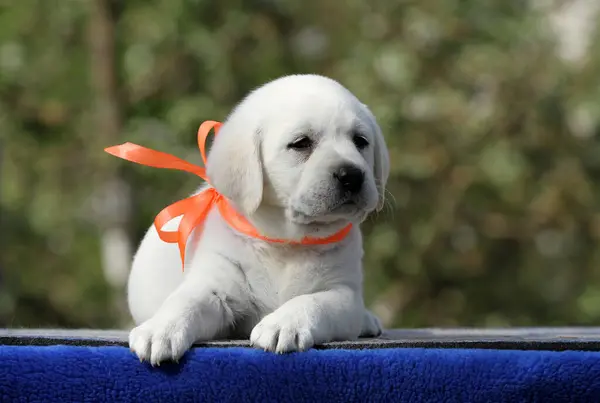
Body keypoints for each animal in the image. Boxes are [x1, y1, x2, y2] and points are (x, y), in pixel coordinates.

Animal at [126, 73, 390, 366]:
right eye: (301, 143)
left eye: (360, 141)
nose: (352, 175)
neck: (287, 242)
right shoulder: (216, 284)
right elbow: (185, 302)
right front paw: (159, 329)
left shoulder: (342, 294)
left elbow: (313, 302)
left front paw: (283, 324)